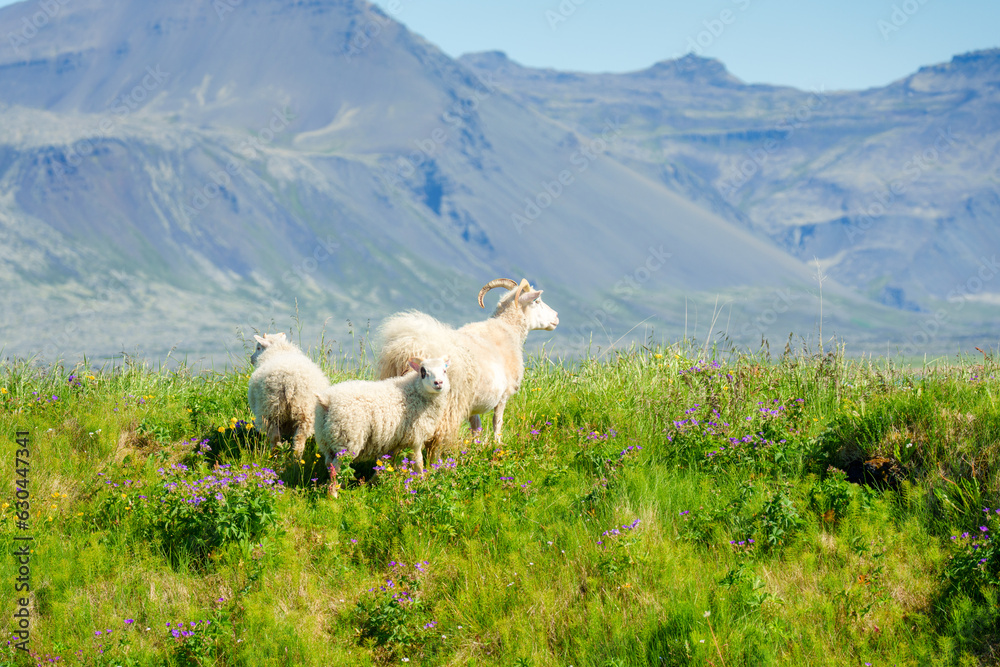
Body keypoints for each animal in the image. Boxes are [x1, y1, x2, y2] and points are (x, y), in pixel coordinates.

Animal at [314, 354, 452, 496]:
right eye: (424, 372)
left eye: (444, 370)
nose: (438, 383)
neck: (415, 391)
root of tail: (327, 400)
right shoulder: (415, 437)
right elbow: (418, 462)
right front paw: (421, 480)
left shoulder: (395, 441)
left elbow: (388, 462)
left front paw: (377, 481)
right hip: (347, 438)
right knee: (336, 467)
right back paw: (333, 495)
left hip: (326, 438)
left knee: (329, 464)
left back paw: (336, 487)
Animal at [376, 276, 560, 460]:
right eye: (537, 301)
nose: (557, 317)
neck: (508, 329)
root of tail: (410, 347)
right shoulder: (503, 395)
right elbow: (497, 422)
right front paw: (498, 446)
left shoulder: (473, 402)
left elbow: (476, 426)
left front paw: (475, 447)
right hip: (445, 403)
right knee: (435, 437)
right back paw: (434, 464)